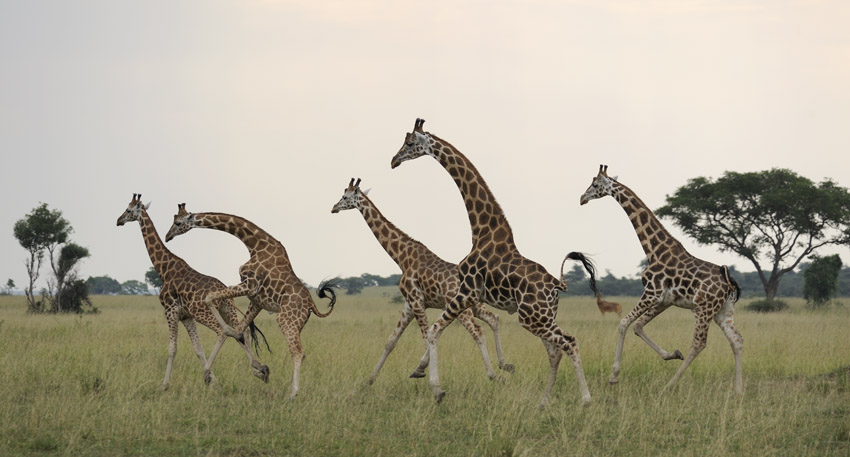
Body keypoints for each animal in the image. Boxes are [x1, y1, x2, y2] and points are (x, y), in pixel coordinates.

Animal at [116, 194, 269, 390]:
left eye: (128, 210)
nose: (118, 221)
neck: (163, 269)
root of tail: (224, 293)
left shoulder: (171, 310)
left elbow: (172, 349)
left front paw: (164, 385)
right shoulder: (186, 316)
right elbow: (198, 350)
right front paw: (214, 381)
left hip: (203, 312)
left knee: (224, 332)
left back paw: (256, 368)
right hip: (226, 310)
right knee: (243, 333)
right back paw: (260, 369)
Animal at [164, 204, 338, 398]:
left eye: (178, 223)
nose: (167, 236)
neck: (255, 244)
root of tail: (312, 305)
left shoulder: (249, 285)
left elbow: (210, 300)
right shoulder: (256, 300)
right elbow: (241, 329)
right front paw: (258, 370)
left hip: (285, 319)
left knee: (298, 352)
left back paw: (292, 394)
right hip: (298, 324)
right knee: (299, 352)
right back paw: (288, 388)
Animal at [332, 177, 514, 384]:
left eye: (345, 197)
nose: (334, 208)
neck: (402, 257)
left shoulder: (416, 301)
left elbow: (427, 337)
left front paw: (423, 371)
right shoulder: (409, 305)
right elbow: (391, 341)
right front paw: (369, 380)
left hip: (463, 309)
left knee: (477, 330)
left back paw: (493, 374)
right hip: (472, 306)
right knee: (493, 318)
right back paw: (504, 364)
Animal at [391, 119, 598, 407]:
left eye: (410, 143)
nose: (393, 160)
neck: (481, 232)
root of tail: (557, 285)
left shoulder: (466, 292)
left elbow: (433, 330)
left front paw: (436, 388)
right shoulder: (468, 296)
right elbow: (438, 330)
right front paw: (420, 370)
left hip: (533, 318)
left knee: (569, 342)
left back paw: (586, 400)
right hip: (542, 317)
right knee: (555, 351)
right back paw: (543, 402)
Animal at [580, 165, 743, 394]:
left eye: (594, 185)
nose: (582, 198)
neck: (654, 250)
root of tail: (728, 283)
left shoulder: (650, 293)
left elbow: (623, 323)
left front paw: (613, 376)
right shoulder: (663, 300)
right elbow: (638, 327)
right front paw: (672, 354)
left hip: (703, 308)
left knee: (699, 343)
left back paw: (669, 385)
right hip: (723, 311)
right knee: (736, 340)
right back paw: (738, 391)